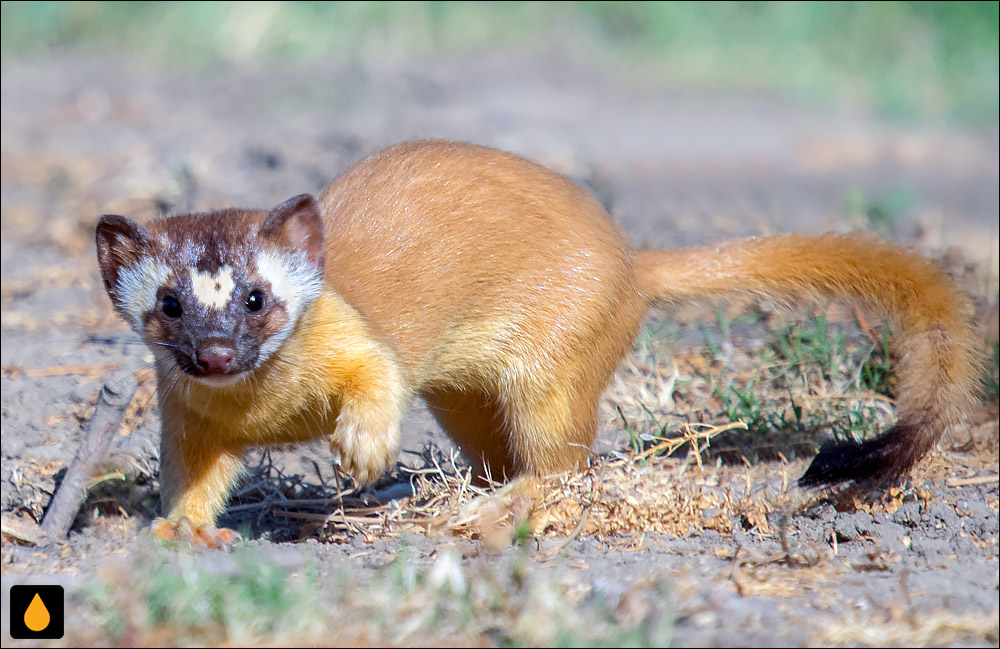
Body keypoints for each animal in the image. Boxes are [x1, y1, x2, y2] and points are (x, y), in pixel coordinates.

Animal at [95, 140, 984, 540]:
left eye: (258, 296)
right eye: (169, 302)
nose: (216, 353)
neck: (270, 413)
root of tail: (630, 259)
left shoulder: (364, 344)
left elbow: (378, 378)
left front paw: (362, 451)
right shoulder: (189, 419)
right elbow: (191, 478)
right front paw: (178, 531)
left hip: (551, 367)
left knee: (562, 461)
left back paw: (496, 505)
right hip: (464, 395)